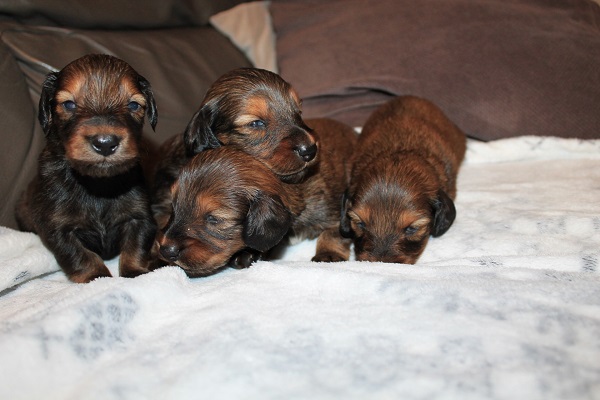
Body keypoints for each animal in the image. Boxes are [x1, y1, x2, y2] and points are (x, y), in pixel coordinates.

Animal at [15, 54, 159, 283]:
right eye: (69, 104)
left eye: (134, 105)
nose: (105, 143)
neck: (96, 183)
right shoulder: (57, 228)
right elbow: (79, 255)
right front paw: (97, 277)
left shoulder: (140, 216)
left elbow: (135, 246)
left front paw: (135, 272)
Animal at [155, 118, 357, 276]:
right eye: (174, 207)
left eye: (214, 219)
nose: (165, 250)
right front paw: (247, 254)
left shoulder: (332, 213)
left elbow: (333, 234)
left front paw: (328, 254)